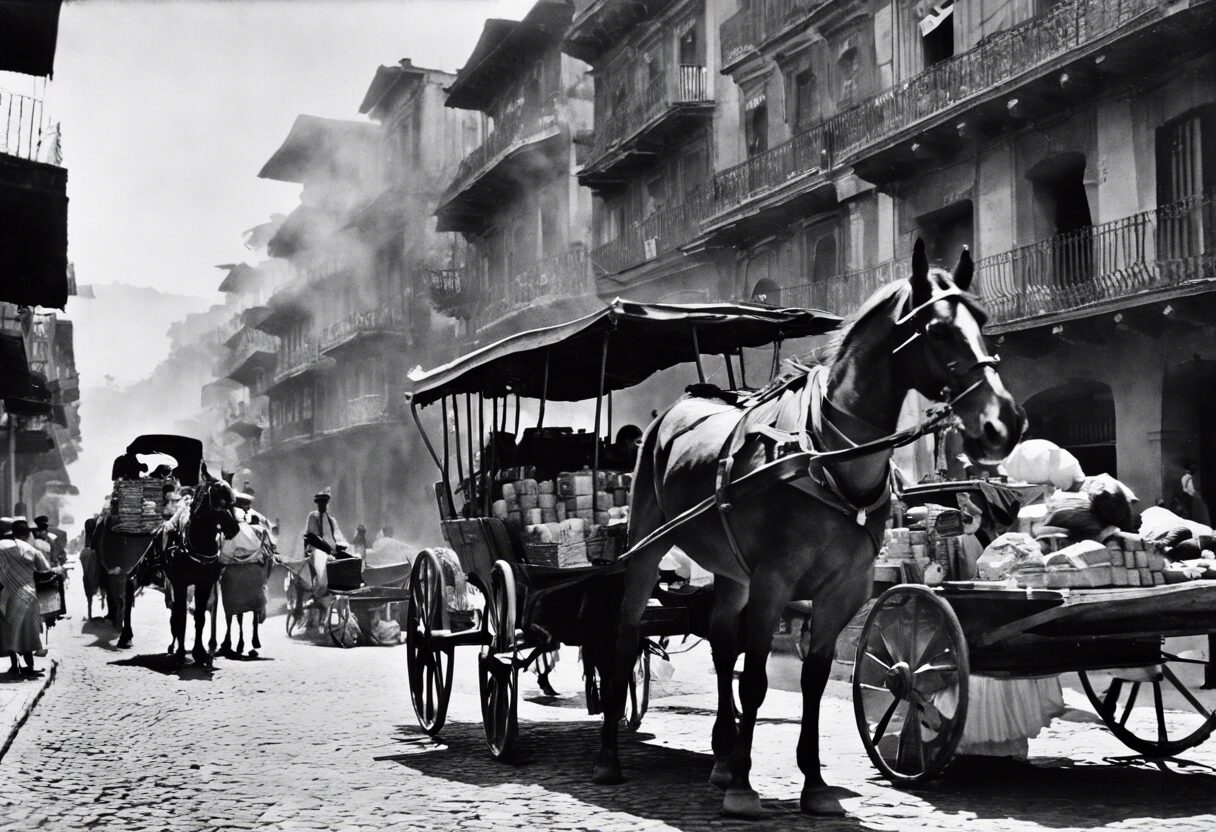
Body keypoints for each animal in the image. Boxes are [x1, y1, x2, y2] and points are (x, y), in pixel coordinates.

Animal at [593, 242, 1021, 817]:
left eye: (983, 321)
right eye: (937, 330)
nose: (1005, 423)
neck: (828, 456)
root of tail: (673, 412)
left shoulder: (844, 590)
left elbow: (813, 678)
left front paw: (812, 783)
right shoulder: (774, 583)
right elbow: (755, 680)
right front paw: (745, 787)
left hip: (732, 573)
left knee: (722, 646)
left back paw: (722, 758)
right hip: (645, 547)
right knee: (624, 638)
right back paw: (611, 758)